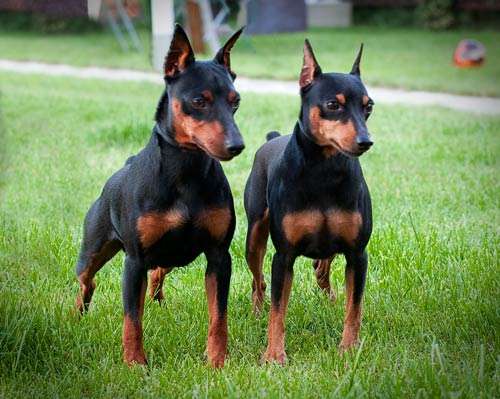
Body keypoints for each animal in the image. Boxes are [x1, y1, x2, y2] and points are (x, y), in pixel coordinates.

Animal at [74, 24, 244, 368]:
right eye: (199, 100)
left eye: (236, 101)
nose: (237, 145)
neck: (186, 174)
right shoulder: (134, 261)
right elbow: (132, 319)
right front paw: (135, 363)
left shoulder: (219, 256)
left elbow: (219, 316)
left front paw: (217, 360)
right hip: (94, 249)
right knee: (87, 280)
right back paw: (75, 316)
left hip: (171, 253)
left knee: (157, 274)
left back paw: (157, 301)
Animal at [244, 40, 374, 366]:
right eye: (333, 105)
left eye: (369, 106)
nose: (366, 141)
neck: (323, 171)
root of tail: (272, 138)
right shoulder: (284, 256)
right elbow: (278, 310)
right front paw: (274, 355)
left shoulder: (357, 254)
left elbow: (354, 307)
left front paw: (349, 348)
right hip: (254, 236)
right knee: (258, 280)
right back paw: (256, 311)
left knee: (323, 267)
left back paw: (328, 292)